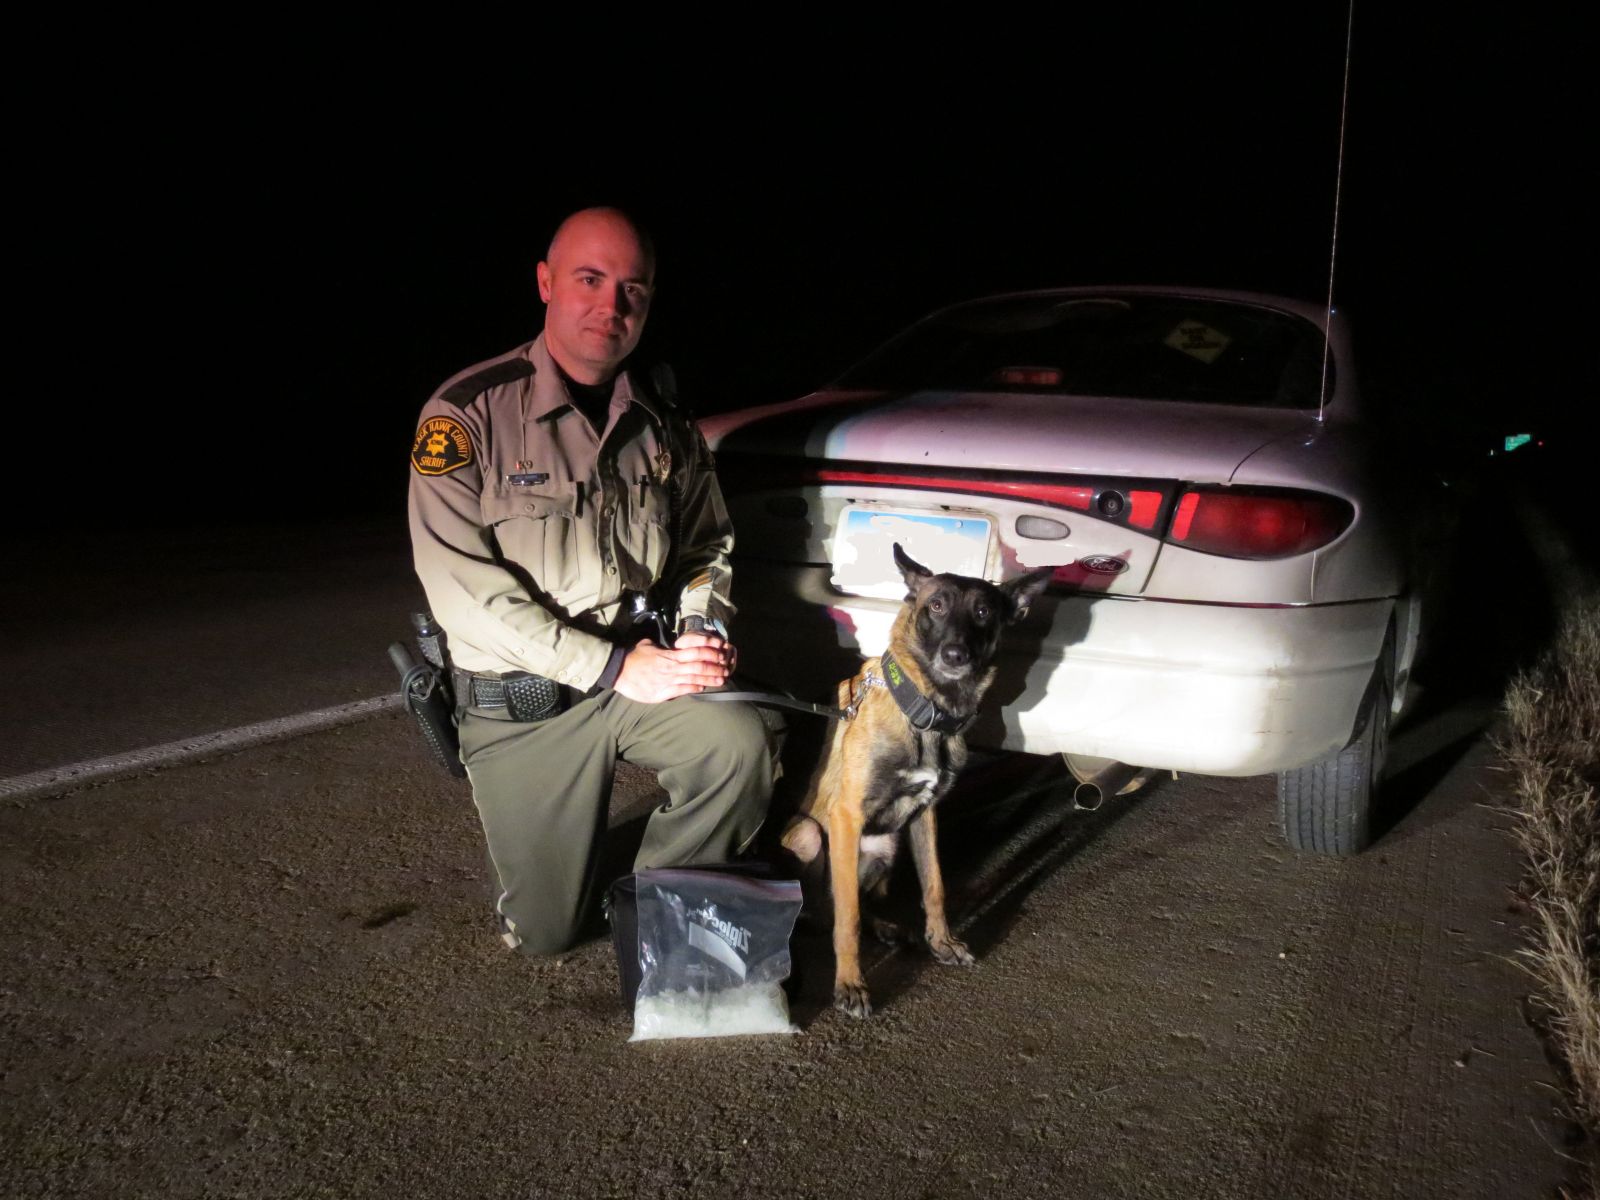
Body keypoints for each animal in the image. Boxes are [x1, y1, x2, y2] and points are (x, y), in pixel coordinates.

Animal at [780, 550, 1056, 1017]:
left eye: (983, 612)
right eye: (937, 605)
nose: (955, 654)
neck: (929, 715)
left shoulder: (924, 816)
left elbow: (935, 886)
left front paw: (942, 942)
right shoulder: (846, 818)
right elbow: (848, 919)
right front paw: (850, 984)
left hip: (886, 848)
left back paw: (889, 928)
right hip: (810, 835)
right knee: (830, 910)